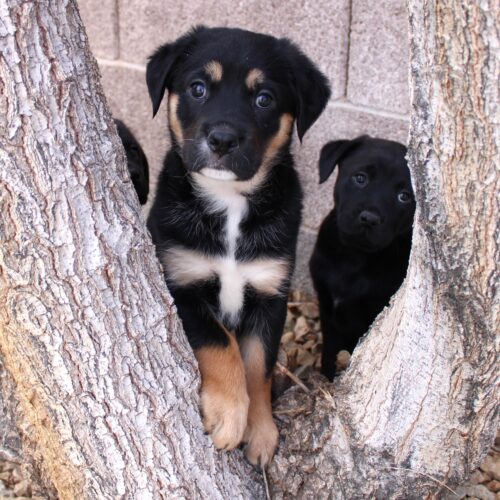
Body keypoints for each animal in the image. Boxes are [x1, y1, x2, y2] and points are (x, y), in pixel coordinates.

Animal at [146, 26, 330, 465]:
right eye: (197, 88)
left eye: (264, 98)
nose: (223, 139)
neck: (229, 202)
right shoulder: (180, 281)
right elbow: (221, 343)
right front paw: (229, 417)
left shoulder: (270, 293)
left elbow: (258, 366)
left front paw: (260, 431)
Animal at [310, 136, 415, 381]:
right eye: (360, 178)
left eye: (404, 197)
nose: (370, 218)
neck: (353, 257)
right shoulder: (327, 310)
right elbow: (330, 354)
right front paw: (326, 379)